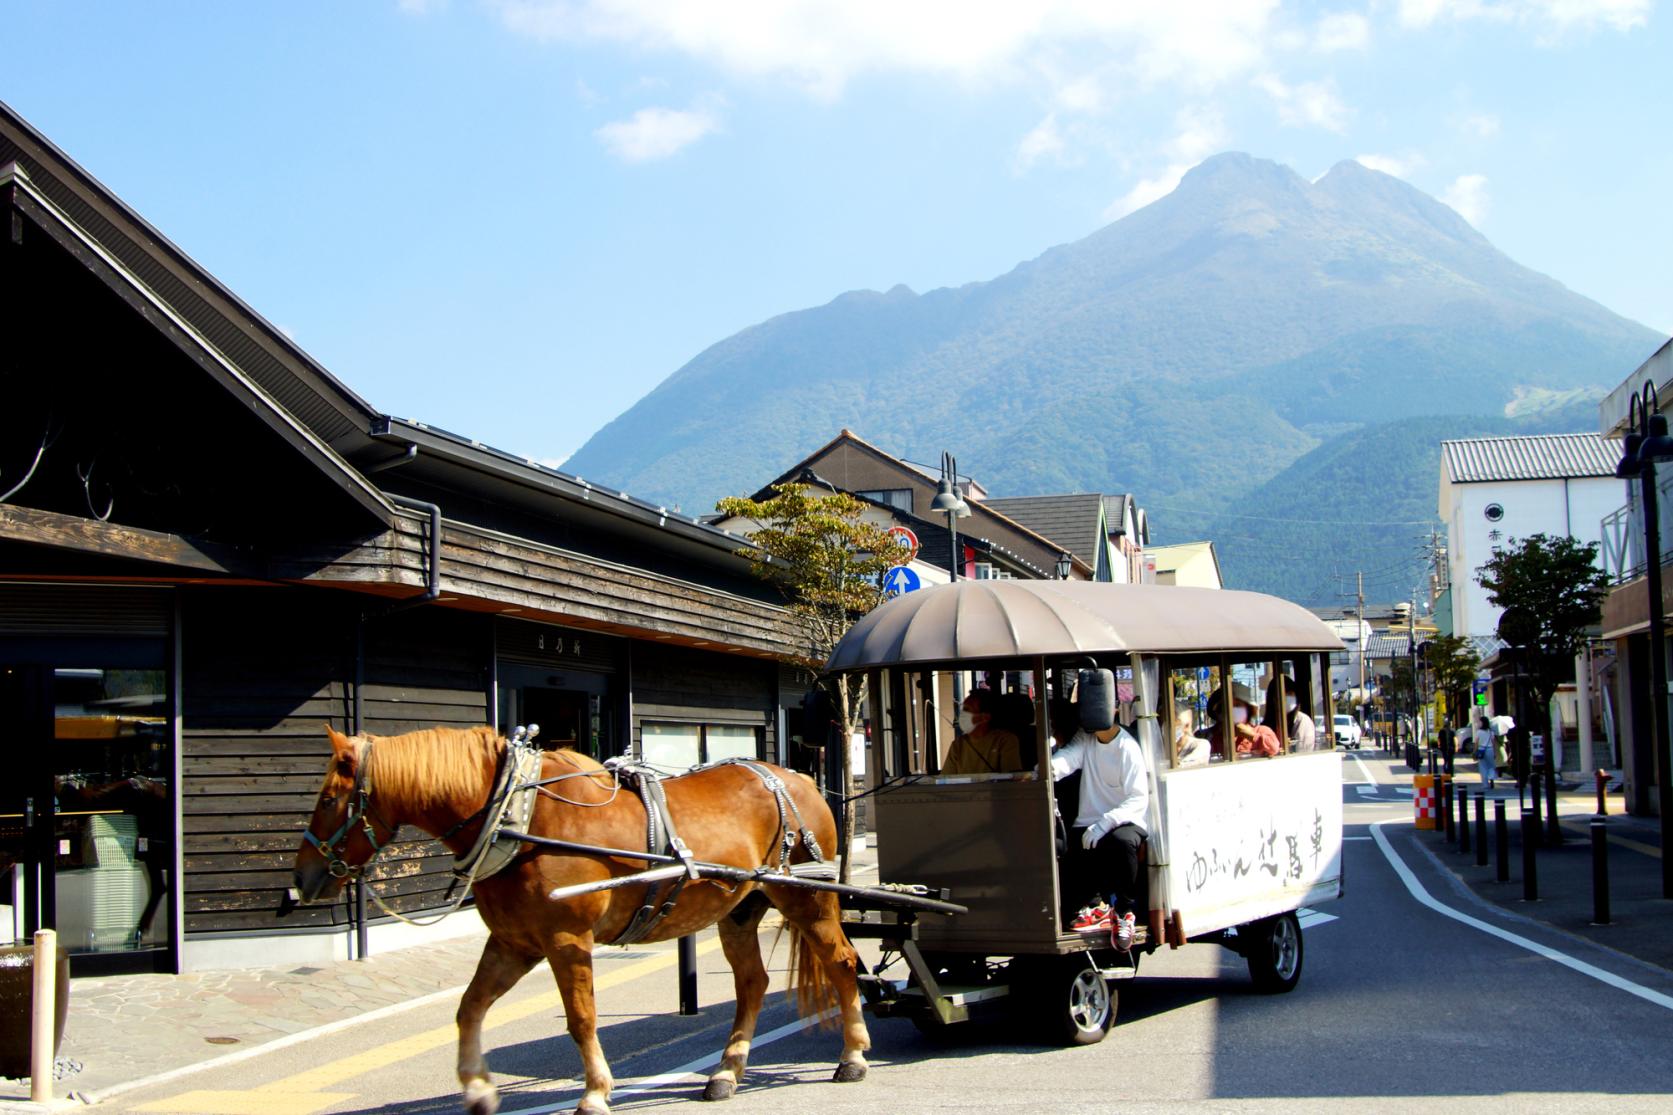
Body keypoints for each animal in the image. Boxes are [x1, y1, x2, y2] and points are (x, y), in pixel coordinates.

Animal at [289, 719, 869, 1111]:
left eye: (329, 798)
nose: (303, 879)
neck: (519, 820)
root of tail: (800, 779)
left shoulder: (567, 939)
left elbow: (581, 1017)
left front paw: (594, 1092)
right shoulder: (514, 942)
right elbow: (469, 1008)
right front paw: (476, 1087)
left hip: (807, 899)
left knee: (841, 963)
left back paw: (853, 1055)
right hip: (742, 907)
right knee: (752, 983)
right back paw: (727, 1069)